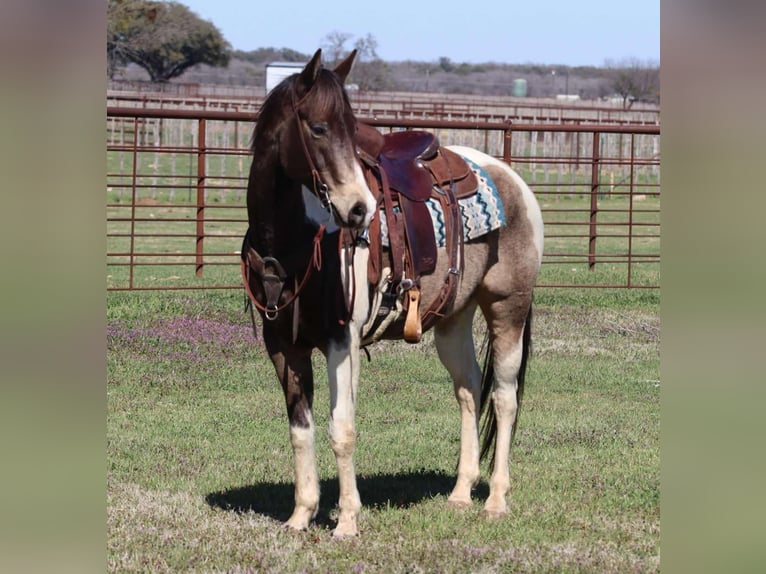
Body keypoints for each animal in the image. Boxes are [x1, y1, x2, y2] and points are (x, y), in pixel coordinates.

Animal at [242, 49, 544, 540]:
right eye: (319, 128)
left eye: (352, 128)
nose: (359, 209)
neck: (293, 240)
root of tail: (513, 181)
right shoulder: (283, 345)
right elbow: (301, 429)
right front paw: (301, 515)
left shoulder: (341, 342)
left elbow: (341, 429)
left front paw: (347, 521)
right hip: (453, 320)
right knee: (468, 389)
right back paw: (461, 493)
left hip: (507, 309)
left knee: (503, 396)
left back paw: (496, 500)